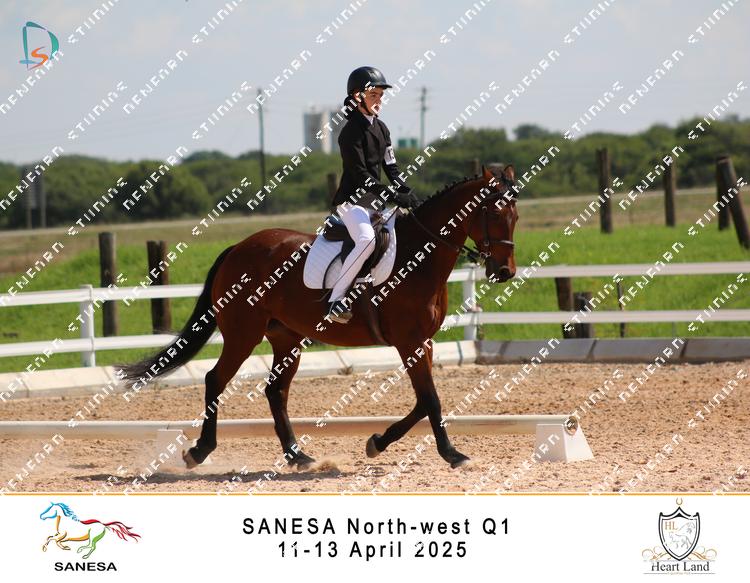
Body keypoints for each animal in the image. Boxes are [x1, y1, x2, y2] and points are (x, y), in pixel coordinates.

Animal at [120, 164, 518, 470]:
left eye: (515, 216)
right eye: (494, 213)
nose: (505, 272)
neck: (418, 255)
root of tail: (239, 248)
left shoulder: (424, 343)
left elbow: (423, 400)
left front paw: (378, 442)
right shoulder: (410, 342)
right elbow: (431, 400)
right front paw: (452, 454)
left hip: (286, 337)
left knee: (275, 390)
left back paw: (298, 456)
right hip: (243, 333)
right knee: (215, 379)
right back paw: (199, 451)